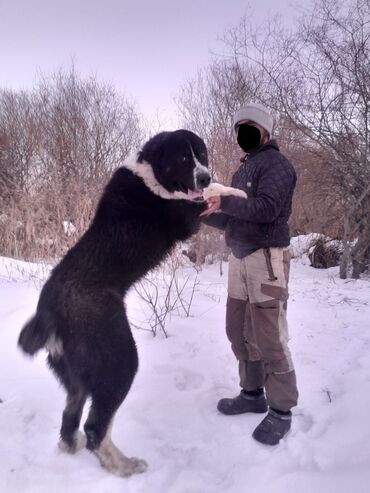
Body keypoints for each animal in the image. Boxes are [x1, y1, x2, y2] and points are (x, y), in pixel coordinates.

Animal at [18, 129, 211, 474]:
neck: (150, 173)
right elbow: (220, 196)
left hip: (76, 377)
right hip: (119, 360)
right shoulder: (186, 215)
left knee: (70, 417)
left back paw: (73, 446)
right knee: (96, 427)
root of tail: (49, 315)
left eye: (201, 154)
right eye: (183, 158)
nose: (205, 177)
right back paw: (123, 466)